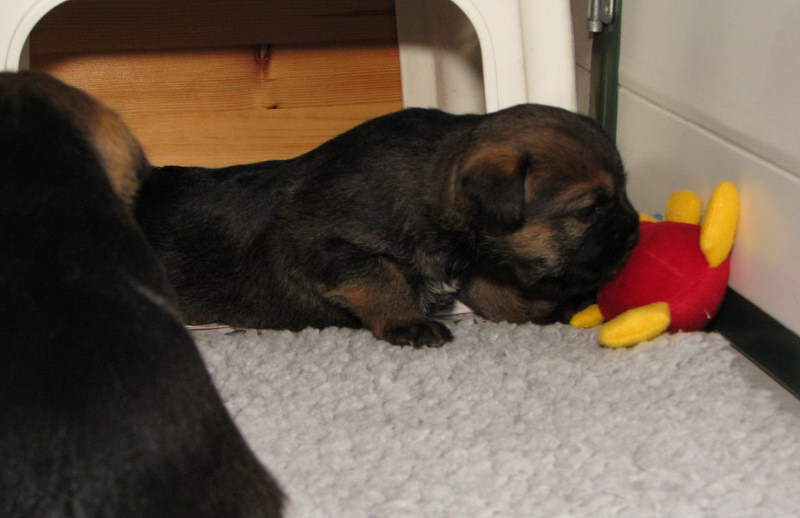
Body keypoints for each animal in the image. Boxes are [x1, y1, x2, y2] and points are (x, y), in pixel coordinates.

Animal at [134, 104, 639, 348]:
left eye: (625, 192)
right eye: (588, 210)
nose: (634, 232)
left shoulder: (476, 268)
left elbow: (505, 298)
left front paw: (562, 306)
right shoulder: (321, 245)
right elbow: (380, 275)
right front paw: (408, 321)